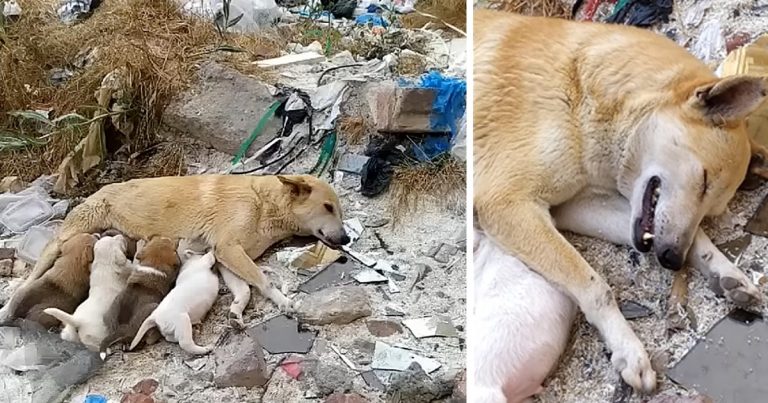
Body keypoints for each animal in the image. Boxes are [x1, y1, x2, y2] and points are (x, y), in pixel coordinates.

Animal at [7, 174, 350, 328]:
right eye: (327, 207)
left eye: (339, 209)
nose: (346, 239)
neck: (265, 203)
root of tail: (99, 190)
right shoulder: (229, 248)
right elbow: (262, 282)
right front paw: (282, 300)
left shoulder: (224, 257)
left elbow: (245, 289)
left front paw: (237, 310)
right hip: (59, 246)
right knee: (23, 285)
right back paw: (7, 309)